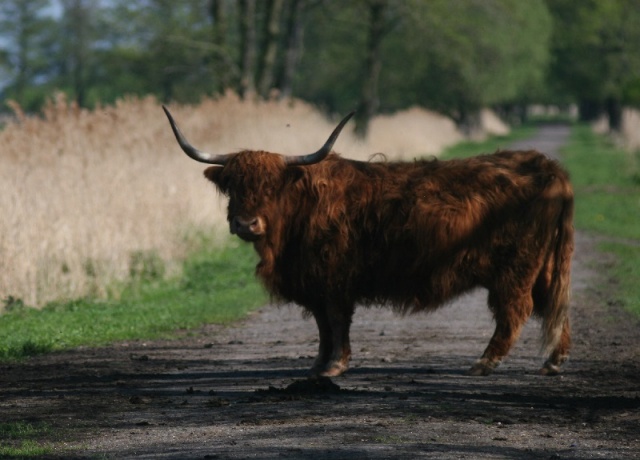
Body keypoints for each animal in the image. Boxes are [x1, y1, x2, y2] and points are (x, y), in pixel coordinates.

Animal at [162, 107, 572, 378]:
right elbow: (322, 326)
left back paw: (485, 362)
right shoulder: (314, 282)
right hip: (546, 265)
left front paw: (334, 366)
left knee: (516, 310)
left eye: (272, 186)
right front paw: (318, 364)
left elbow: (336, 320)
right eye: (233, 185)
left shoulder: (333, 278)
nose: (246, 223)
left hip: (515, 269)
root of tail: (546, 165)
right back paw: (553, 361)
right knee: (555, 305)